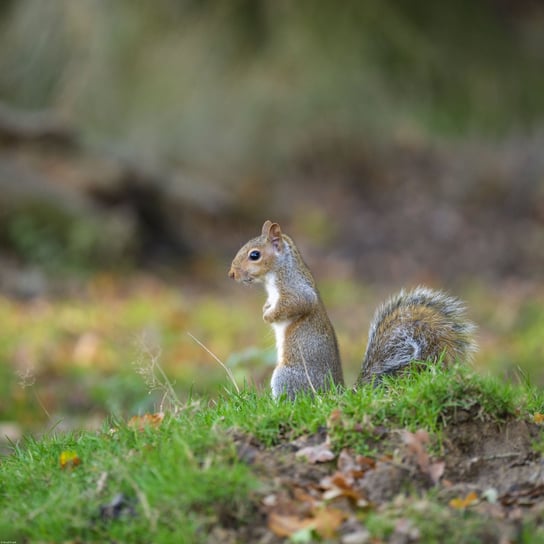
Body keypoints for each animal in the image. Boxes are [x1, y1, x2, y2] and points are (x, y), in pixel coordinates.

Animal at [230, 221, 476, 400]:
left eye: (254, 255)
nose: (231, 274)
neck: (278, 273)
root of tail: (336, 393)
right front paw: (266, 309)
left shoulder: (296, 289)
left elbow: (297, 304)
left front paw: (268, 316)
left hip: (286, 376)